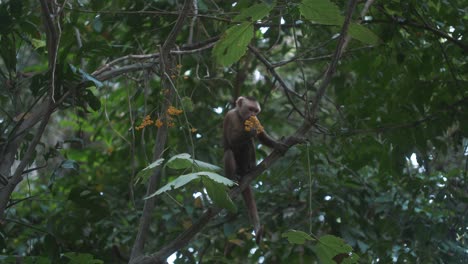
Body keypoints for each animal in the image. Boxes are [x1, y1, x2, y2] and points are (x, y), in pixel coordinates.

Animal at [222, 95, 286, 243]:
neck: (241, 117)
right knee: (229, 151)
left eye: (256, 111)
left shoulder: (257, 119)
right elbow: (231, 140)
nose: (252, 115)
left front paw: (277, 145)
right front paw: (251, 130)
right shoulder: (230, 116)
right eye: (250, 109)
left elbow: (261, 136)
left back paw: (249, 170)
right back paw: (234, 180)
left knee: (248, 144)